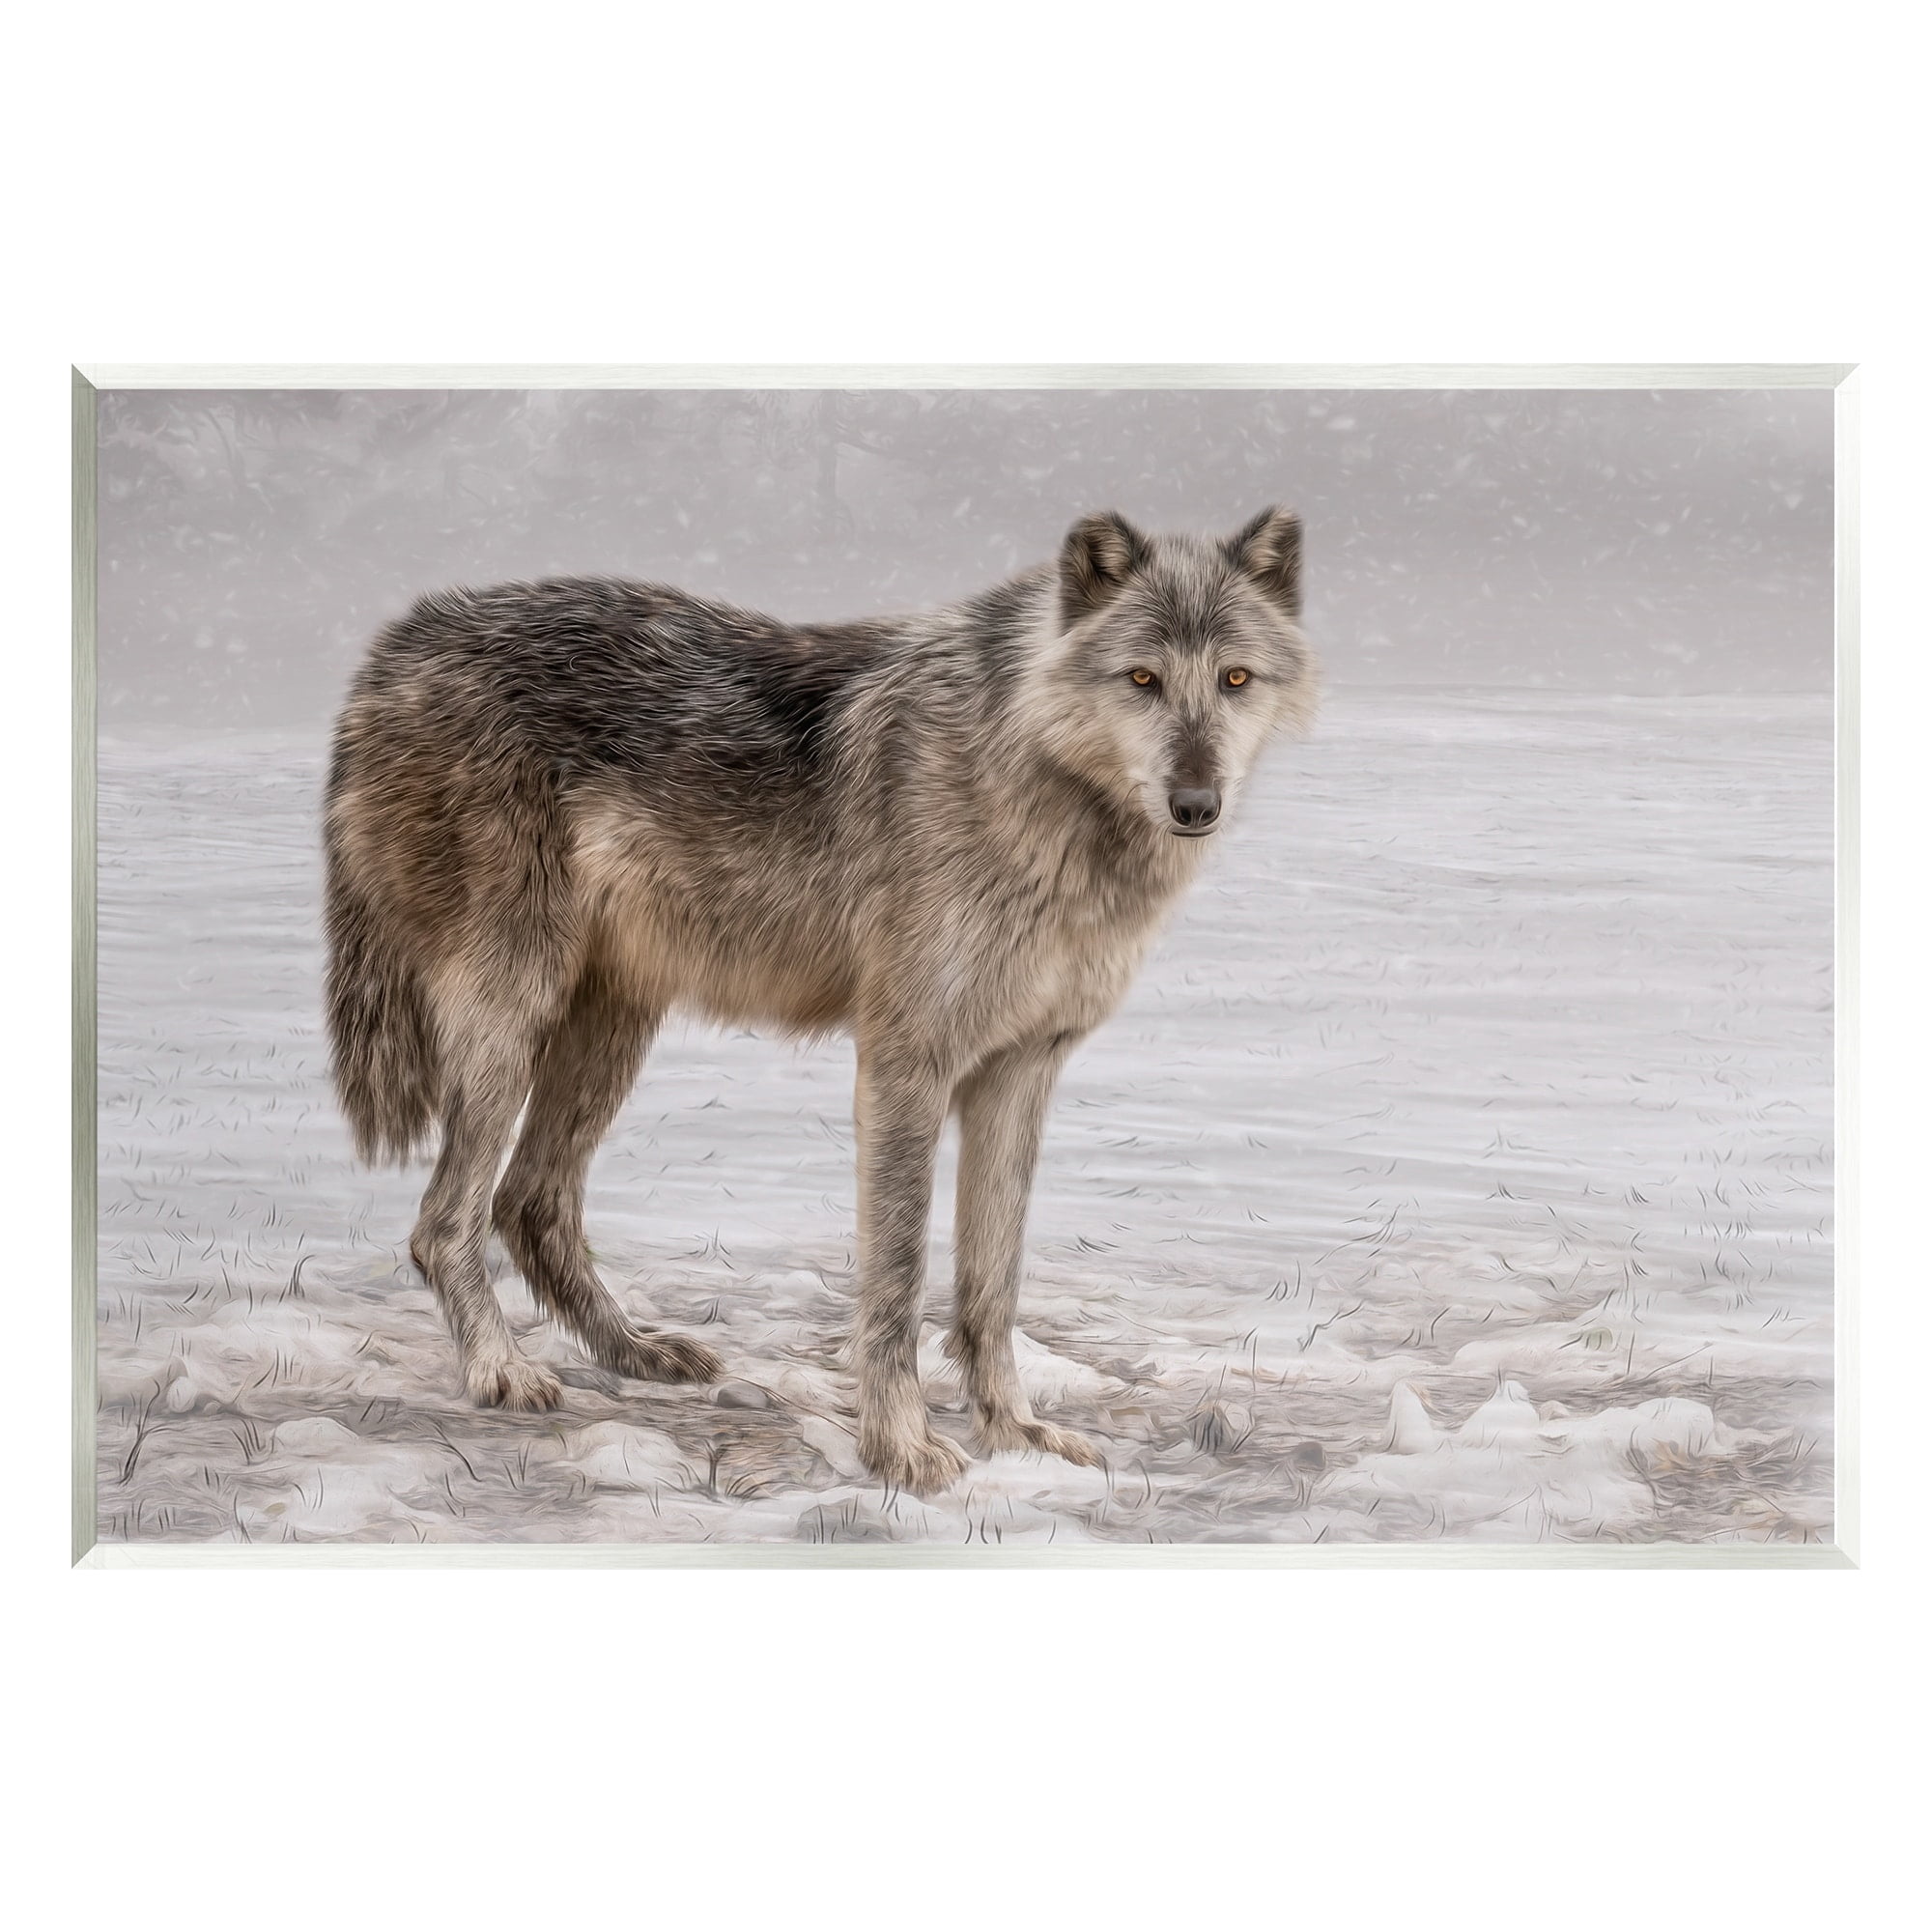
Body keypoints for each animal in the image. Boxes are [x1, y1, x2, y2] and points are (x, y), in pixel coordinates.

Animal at [324, 507, 1316, 1495]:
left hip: (613, 1024)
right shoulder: (906, 1063)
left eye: (1234, 679)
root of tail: (397, 642)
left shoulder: (1020, 1069)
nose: (1196, 802)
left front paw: (1017, 1435)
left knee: (529, 1202)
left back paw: (636, 1353)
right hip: (514, 1015)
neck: (1036, 784)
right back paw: (501, 1371)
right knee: (445, 1221)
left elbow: (993, 1287)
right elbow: (899, 1278)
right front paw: (902, 1450)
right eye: (1142, 679)